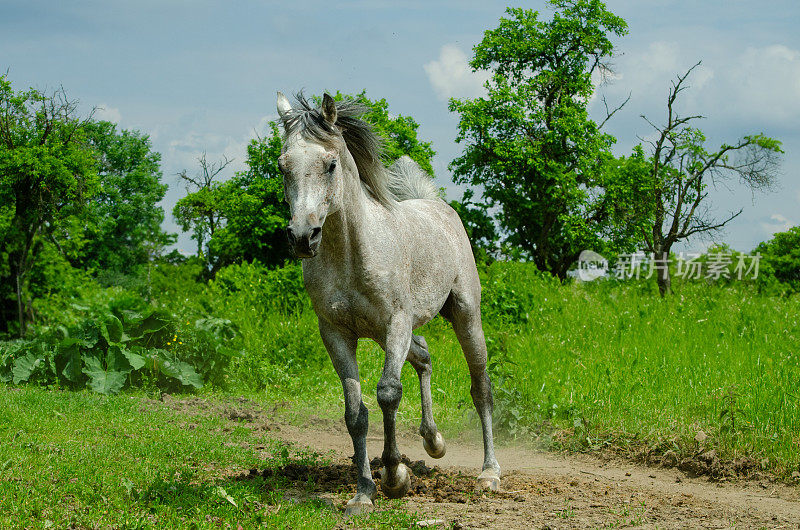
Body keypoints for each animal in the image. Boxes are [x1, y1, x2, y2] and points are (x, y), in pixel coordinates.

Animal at [276, 91, 500, 512]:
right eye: (283, 166)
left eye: (330, 164)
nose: (302, 236)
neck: (351, 254)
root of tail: (437, 206)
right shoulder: (336, 334)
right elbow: (356, 413)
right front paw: (364, 492)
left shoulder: (395, 322)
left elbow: (388, 394)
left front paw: (395, 476)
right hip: (391, 335)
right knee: (424, 357)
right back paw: (433, 441)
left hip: (464, 316)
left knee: (481, 389)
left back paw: (489, 473)